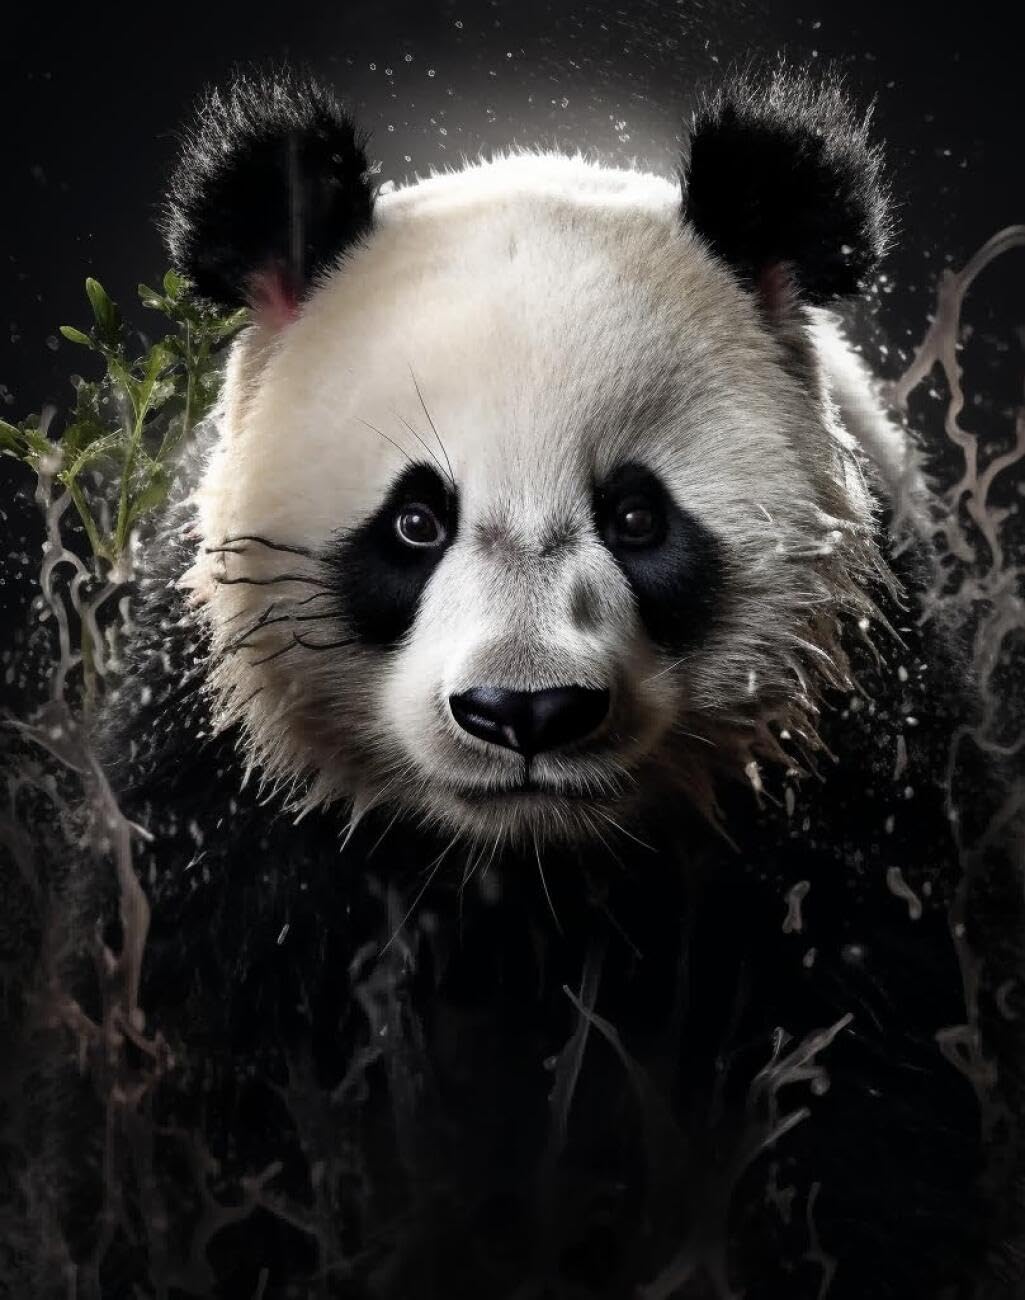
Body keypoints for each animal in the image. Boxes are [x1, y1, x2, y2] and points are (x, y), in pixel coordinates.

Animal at [47, 66, 1024, 1300]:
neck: (528, 875)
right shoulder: (217, 800)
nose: (525, 712)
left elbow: (888, 1070)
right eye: (415, 522)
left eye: (637, 516)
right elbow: (183, 1079)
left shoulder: (857, 759)